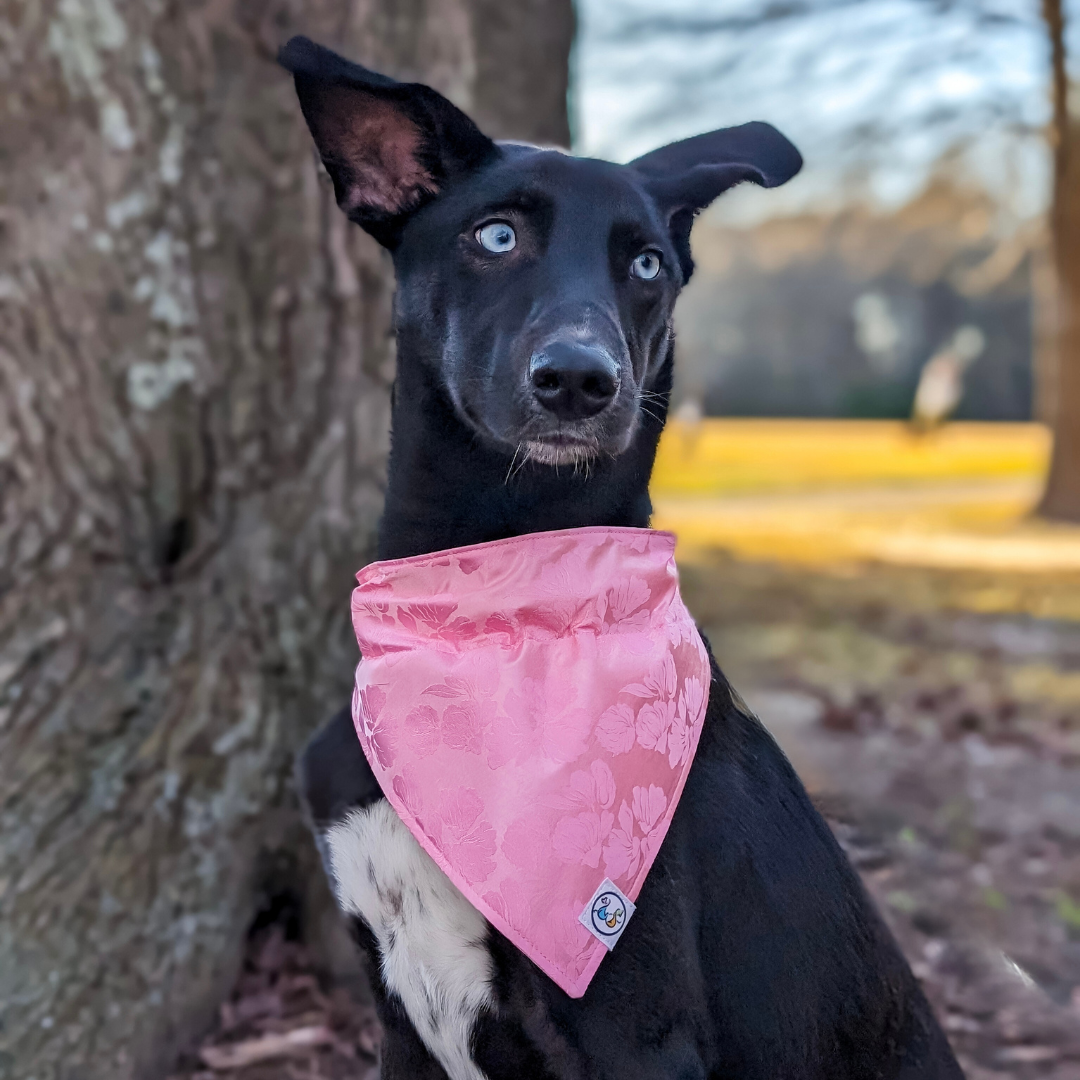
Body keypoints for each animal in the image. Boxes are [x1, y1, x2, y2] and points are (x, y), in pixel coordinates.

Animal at [282, 35, 967, 1080]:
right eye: (495, 237)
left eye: (646, 262)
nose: (579, 380)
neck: (493, 613)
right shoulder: (395, 1016)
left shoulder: (634, 1031)